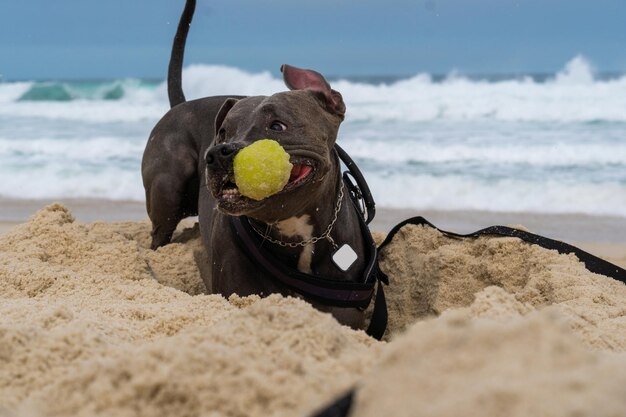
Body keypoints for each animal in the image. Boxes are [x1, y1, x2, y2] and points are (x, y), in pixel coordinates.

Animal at [141, 0, 366, 326]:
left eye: (278, 126)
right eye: (222, 131)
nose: (218, 152)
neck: (294, 232)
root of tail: (181, 105)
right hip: (167, 190)